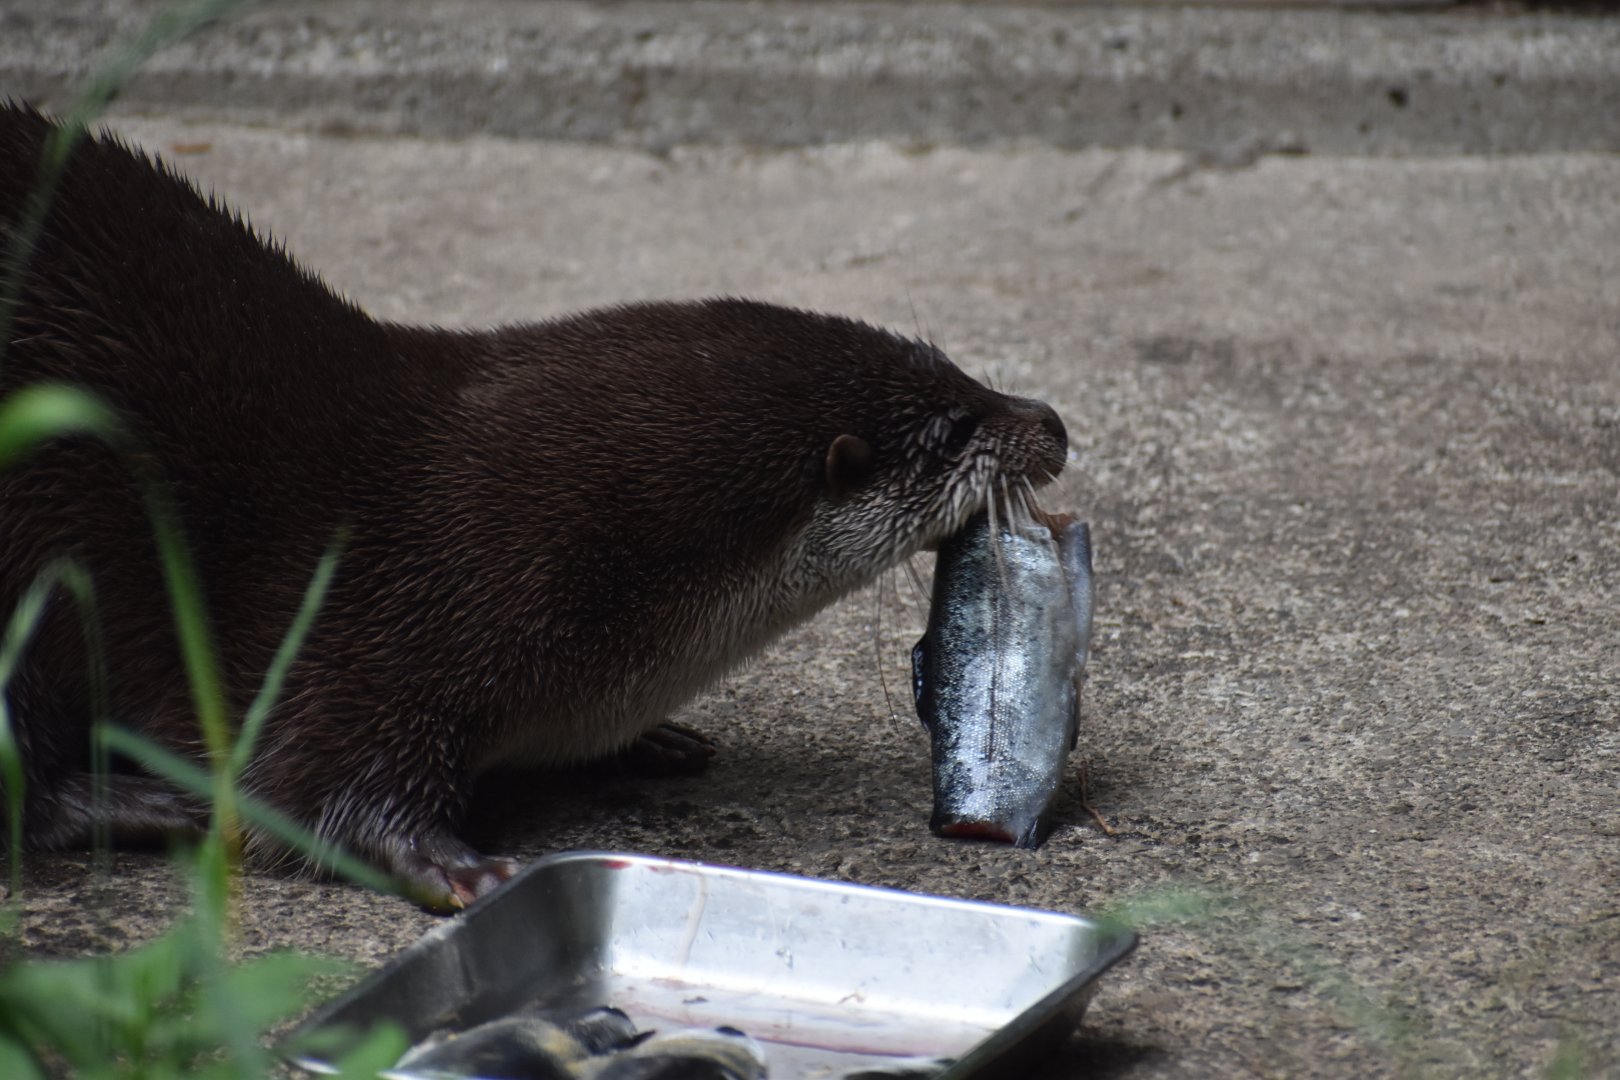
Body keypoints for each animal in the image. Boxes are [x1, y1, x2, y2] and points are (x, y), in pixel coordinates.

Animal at [0, 103, 1068, 910]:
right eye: (952, 430)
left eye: (956, 368)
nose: (1051, 423)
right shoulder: (366, 624)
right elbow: (304, 785)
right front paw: (454, 867)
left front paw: (650, 742)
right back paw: (145, 804)